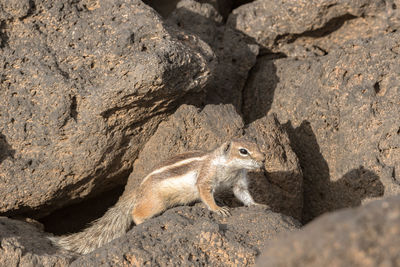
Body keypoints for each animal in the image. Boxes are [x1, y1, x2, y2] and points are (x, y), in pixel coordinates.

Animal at [51, 140, 268, 255]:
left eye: (258, 145)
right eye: (243, 151)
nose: (264, 159)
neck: (230, 168)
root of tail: (138, 190)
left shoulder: (239, 181)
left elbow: (243, 194)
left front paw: (258, 204)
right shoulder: (205, 178)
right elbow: (205, 194)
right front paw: (217, 208)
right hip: (156, 202)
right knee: (136, 213)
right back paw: (144, 220)